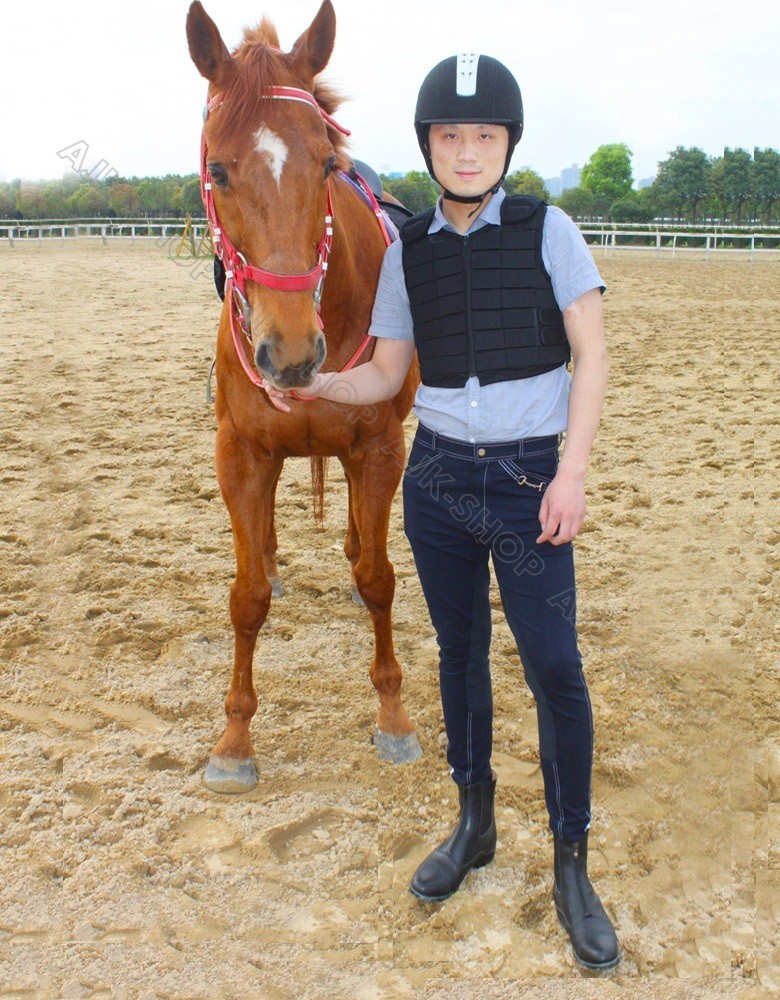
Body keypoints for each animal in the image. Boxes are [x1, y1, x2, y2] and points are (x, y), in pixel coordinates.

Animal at [184, 3, 420, 792]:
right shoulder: (239, 452)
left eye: (325, 163)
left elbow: (378, 578)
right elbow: (246, 595)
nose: (290, 354)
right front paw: (233, 740)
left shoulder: (379, 447)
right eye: (218, 169)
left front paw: (394, 716)